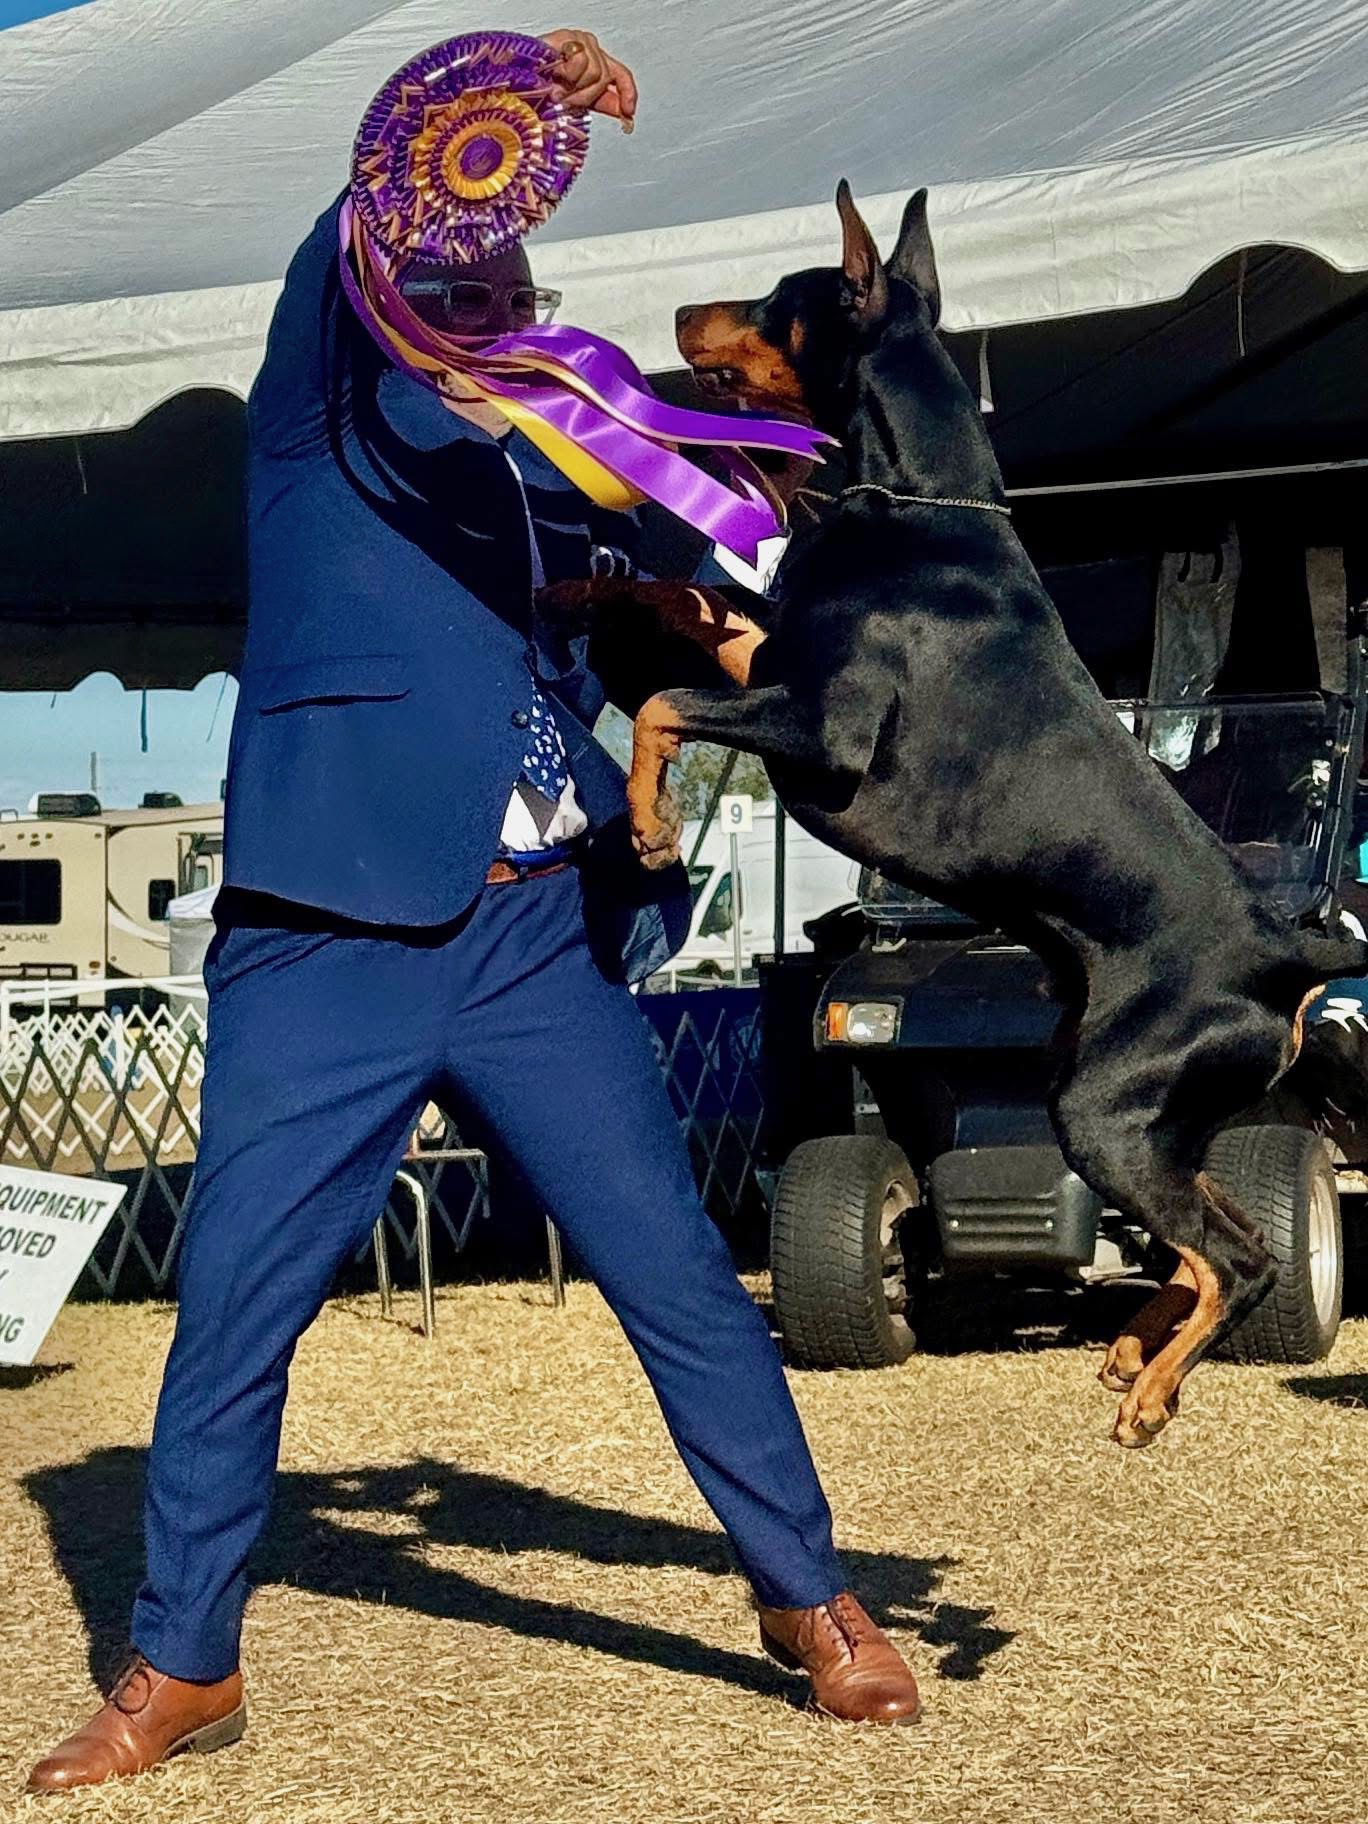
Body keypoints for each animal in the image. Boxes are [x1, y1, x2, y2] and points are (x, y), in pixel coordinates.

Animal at [537, 183, 1365, 1446]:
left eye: (779, 299)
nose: (675, 311)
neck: (919, 504)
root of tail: (1288, 952)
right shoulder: (769, 657)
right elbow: (684, 595)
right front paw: (573, 586)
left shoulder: (822, 736)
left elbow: (669, 705)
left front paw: (647, 826)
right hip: (1138, 1109)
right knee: (1224, 1240)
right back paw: (1137, 1351)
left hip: (1106, 1102)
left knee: (1239, 1256)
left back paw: (1151, 1395)